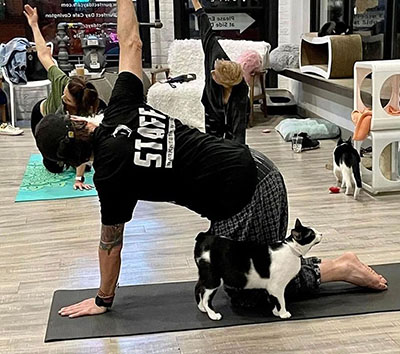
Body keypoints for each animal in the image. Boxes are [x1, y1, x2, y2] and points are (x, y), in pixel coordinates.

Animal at [194, 218, 322, 320]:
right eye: (312, 234)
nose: (320, 233)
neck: (291, 249)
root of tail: (203, 237)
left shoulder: (272, 288)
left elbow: (274, 299)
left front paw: (276, 312)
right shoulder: (276, 286)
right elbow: (281, 300)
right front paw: (283, 313)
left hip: (205, 276)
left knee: (198, 287)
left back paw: (201, 308)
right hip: (213, 279)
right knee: (206, 298)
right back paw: (212, 314)